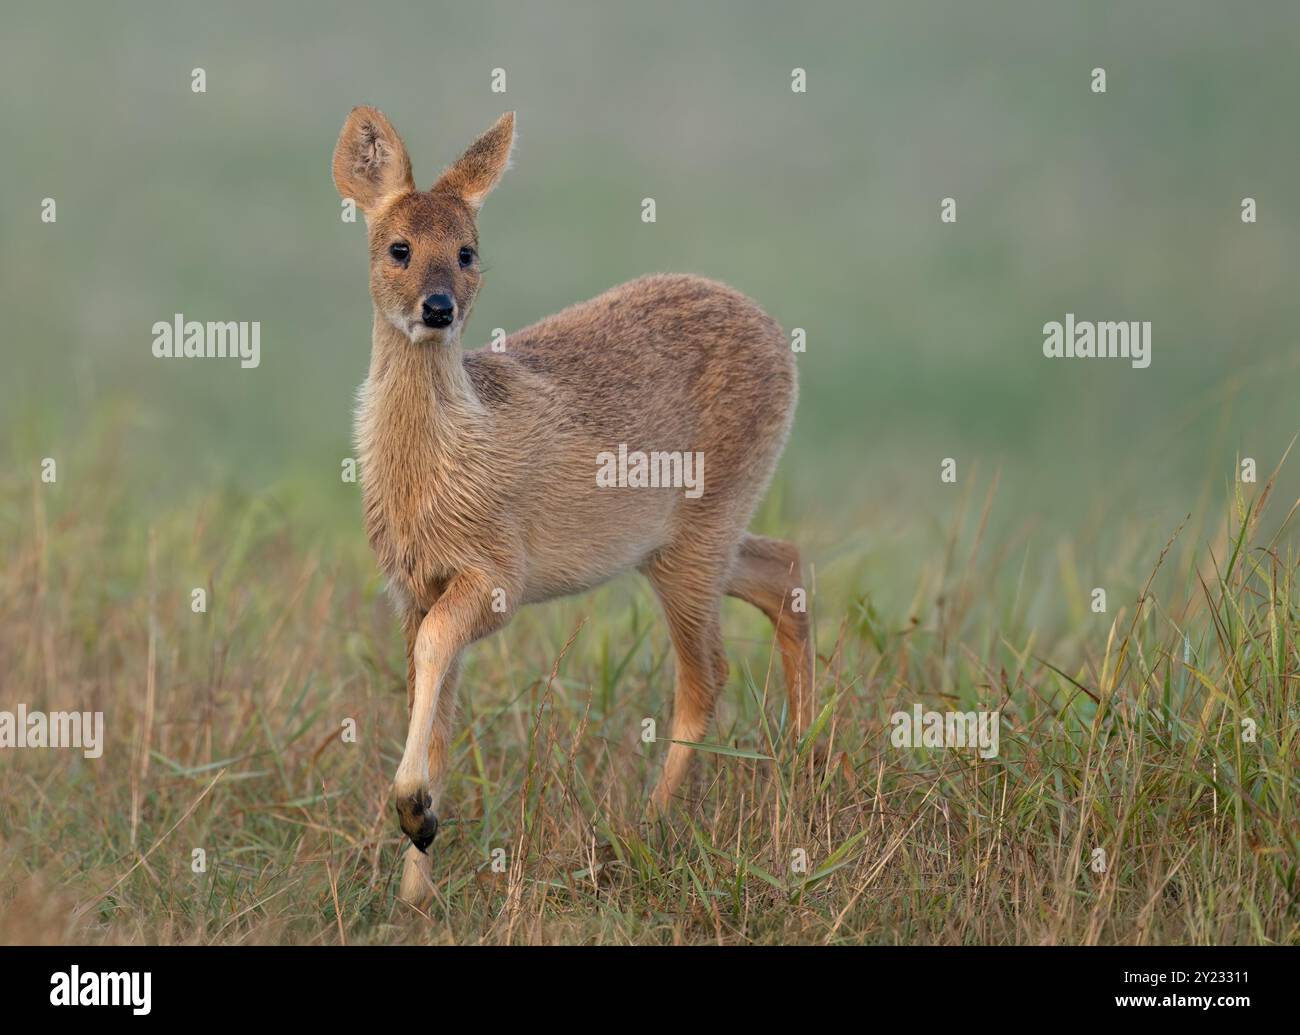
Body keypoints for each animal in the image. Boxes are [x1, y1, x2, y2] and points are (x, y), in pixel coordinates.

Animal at [330, 105, 811, 904]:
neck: (436, 464)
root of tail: (779, 336)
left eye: (467, 251)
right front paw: (415, 882)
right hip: (684, 543)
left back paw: (647, 826)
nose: (438, 308)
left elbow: (434, 660)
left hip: (698, 538)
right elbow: (435, 711)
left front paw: (415, 814)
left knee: (707, 676)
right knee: (786, 569)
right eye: (398, 248)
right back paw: (804, 759)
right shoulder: (411, 586)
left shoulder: (496, 573)